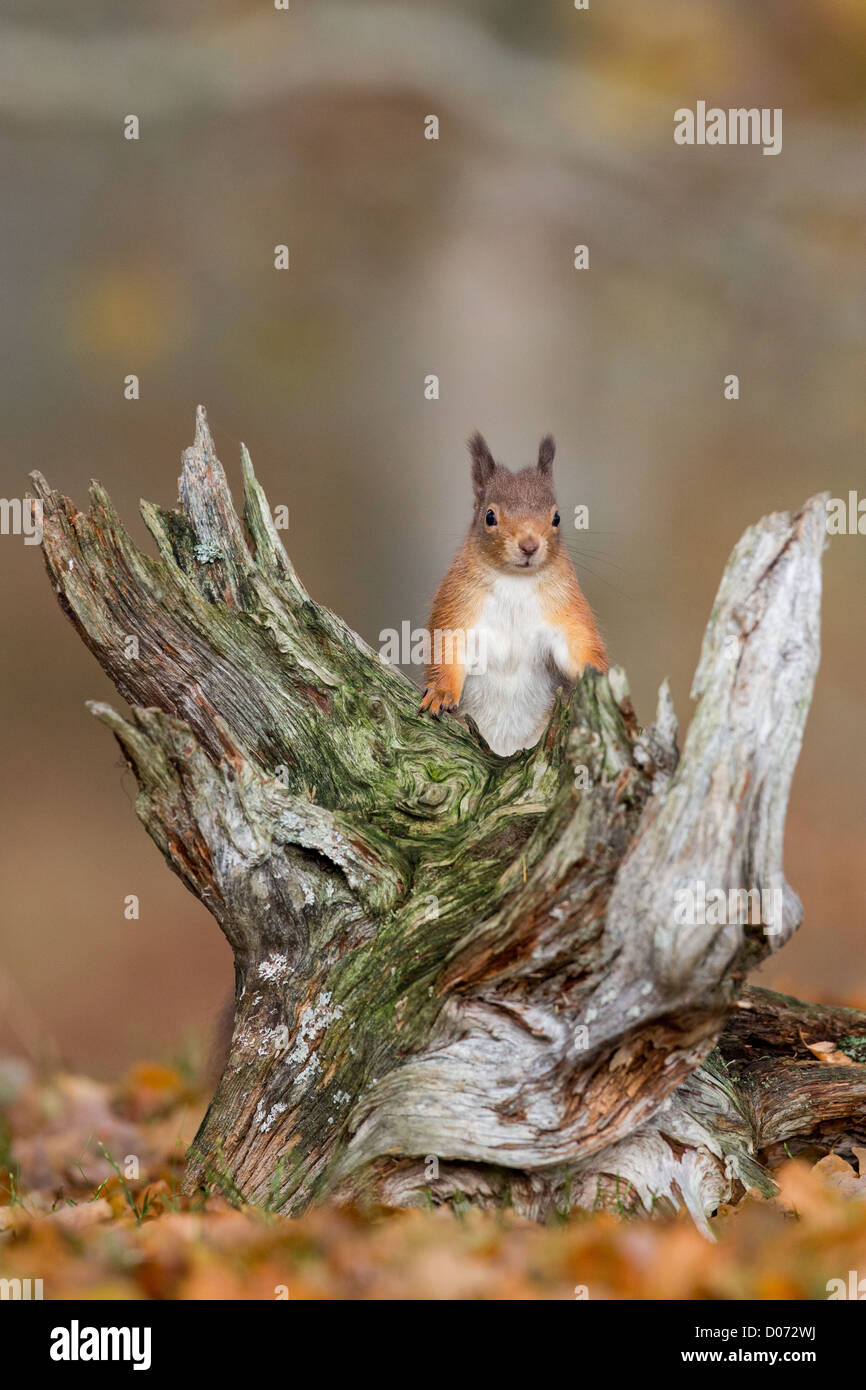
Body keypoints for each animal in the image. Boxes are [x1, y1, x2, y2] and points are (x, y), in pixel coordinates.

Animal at [422, 433, 608, 761]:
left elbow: (579, 645)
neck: (515, 582)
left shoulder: (565, 609)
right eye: (489, 516)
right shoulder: (458, 604)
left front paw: (597, 673)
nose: (529, 545)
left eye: (557, 517)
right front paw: (441, 693)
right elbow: (447, 647)